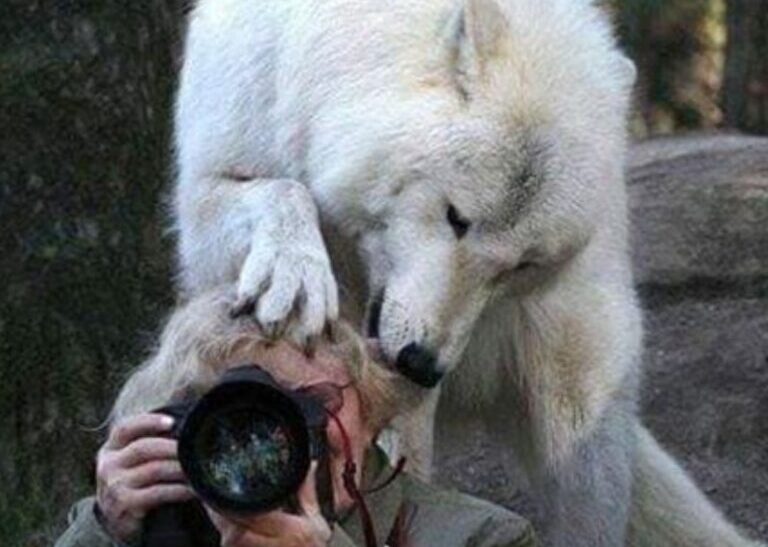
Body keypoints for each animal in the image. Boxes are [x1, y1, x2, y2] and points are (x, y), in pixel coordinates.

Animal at [172, 0, 760, 544]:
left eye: (523, 263)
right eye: (457, 217)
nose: (423, 364)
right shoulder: (217, 170)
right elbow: (280, 190)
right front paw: (295, 276)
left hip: (580, 404)